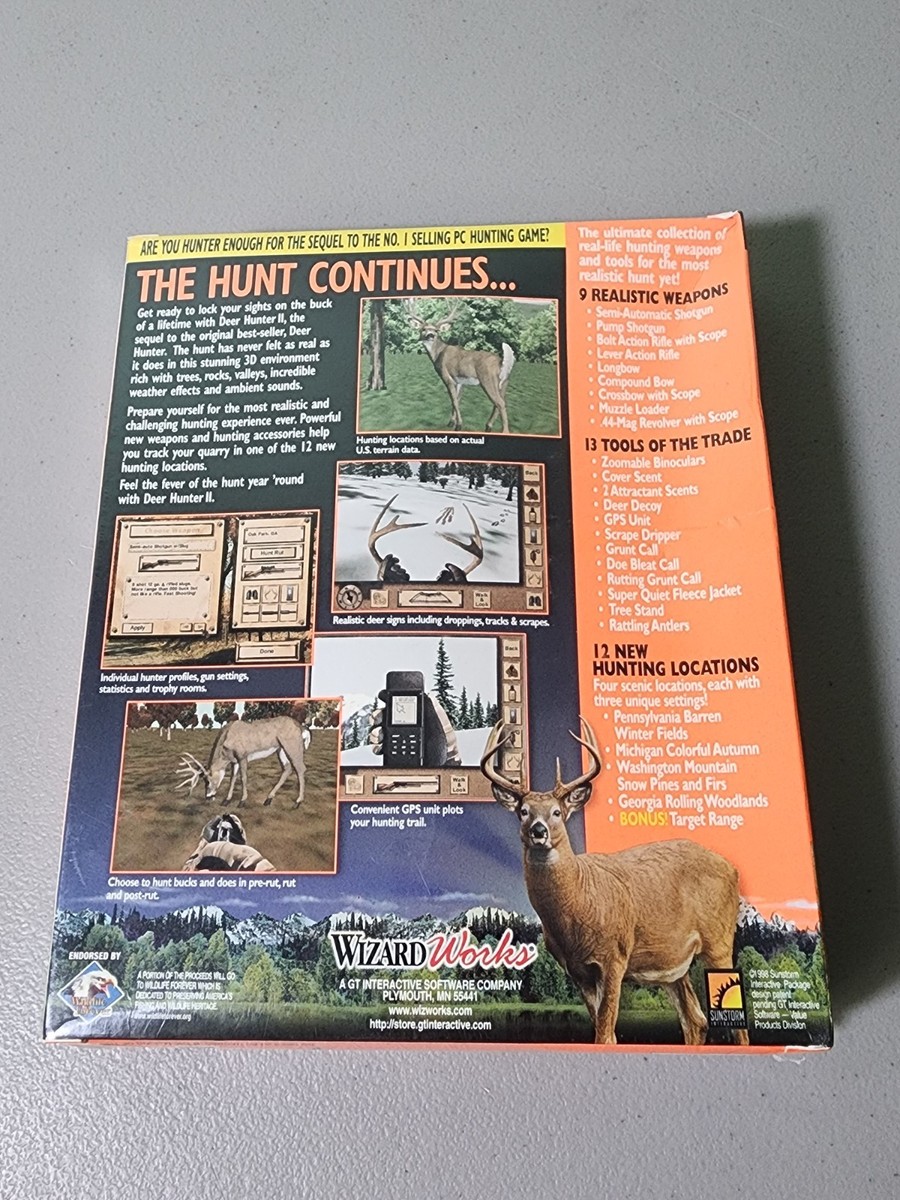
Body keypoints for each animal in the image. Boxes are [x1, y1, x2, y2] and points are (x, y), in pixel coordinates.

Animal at [177, 716, 309, 809]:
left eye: (208, 780)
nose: (208, 797)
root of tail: (301, 727)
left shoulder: (242, 756)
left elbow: (243, 778)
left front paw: (242, 801)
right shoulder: (234, 761)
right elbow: (232, 779)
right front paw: (226, 800)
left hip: (292, 746)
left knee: (300, 768)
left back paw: (297, 802)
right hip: (280, 749)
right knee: (287, 768)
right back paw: (268, 799)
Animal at [404, 300, 515, 434]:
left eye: (436, 330)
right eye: (424, 329)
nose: (430, 335)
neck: (438, 354)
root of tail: (501, 362)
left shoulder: (447, 377)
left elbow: (454, 401)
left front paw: (458, 425)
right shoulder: (459, 381)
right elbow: (457, 400)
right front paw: (451, 422)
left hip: (488, 380)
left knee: (500, 403)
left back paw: (504, 431)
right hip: (504, 382)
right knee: (500, 402)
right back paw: (488, 426)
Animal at [481, 719, 749, 1046]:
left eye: (557, 812)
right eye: (523, 811)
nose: (538, 831)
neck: (578, 904)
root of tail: (733, 868)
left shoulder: (615, 955)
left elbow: (605, 1033)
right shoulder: (577, 970)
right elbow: (603, 1030)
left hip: (719, 940)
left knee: (735, 1022)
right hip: (673, 966)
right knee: (696, 1020)